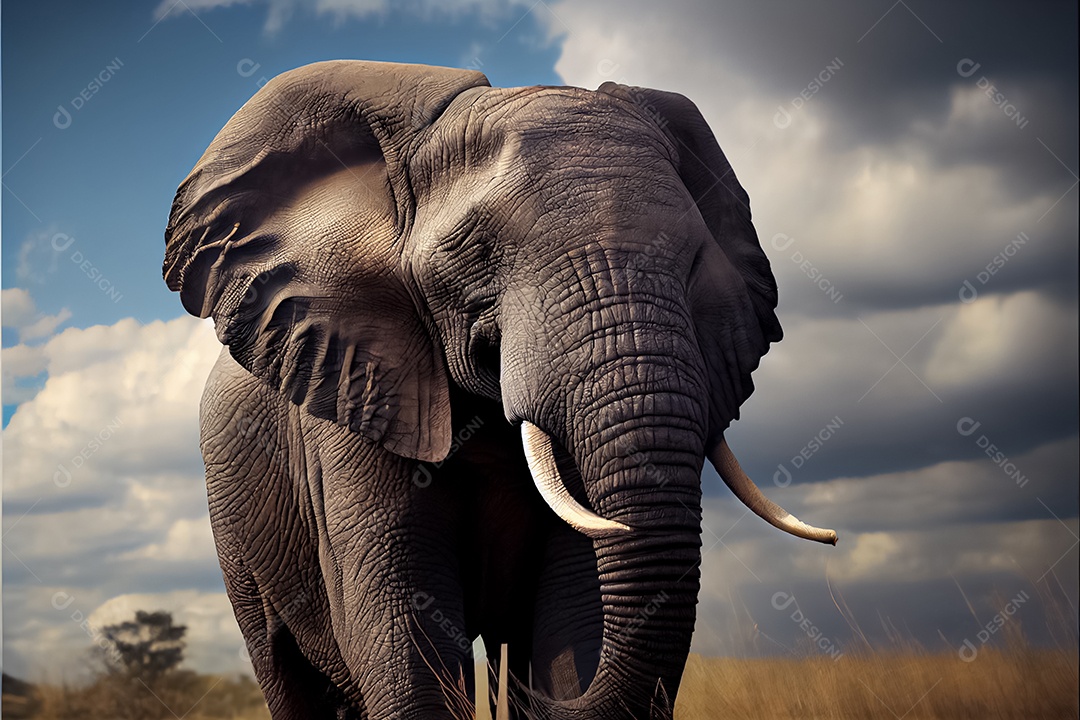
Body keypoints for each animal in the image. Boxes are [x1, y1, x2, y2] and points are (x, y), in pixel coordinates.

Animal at [163, 60, 836, 720]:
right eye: (478, 252)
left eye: (696, 262)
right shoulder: (354, 395)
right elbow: (405, 631)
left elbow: (575, 616)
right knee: (283, 672)